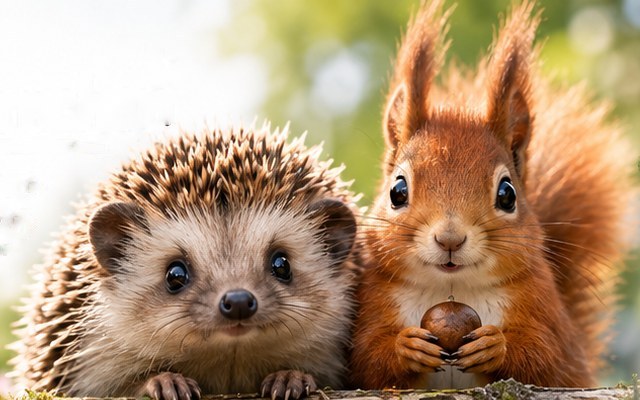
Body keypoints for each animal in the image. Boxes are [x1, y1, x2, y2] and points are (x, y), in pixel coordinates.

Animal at [349, 0, 637, 390]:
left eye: (507, 194)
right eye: (397, 191)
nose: (450, 239)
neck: (453, 288)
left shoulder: (544, 309)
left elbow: (549, 359)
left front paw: (495, 346)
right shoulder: (374, 301)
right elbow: (367, 359)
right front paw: (404, 347)